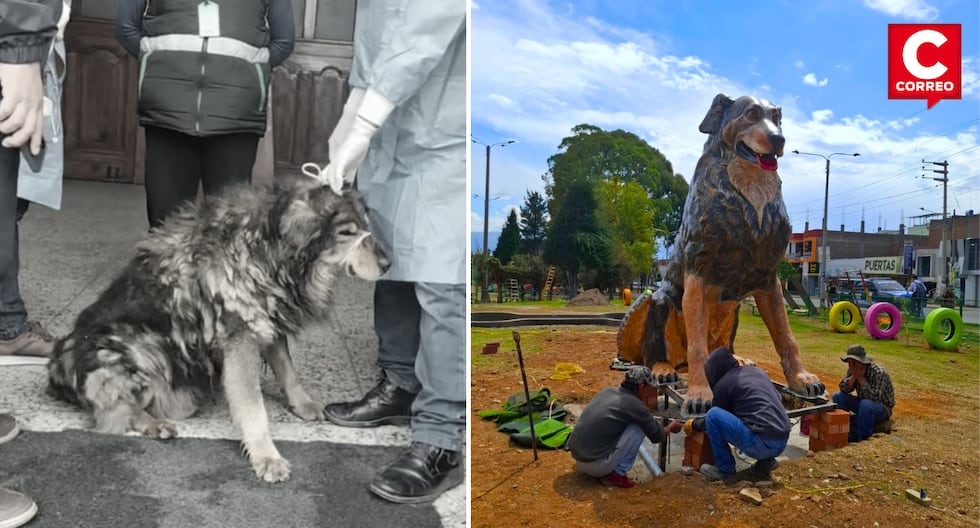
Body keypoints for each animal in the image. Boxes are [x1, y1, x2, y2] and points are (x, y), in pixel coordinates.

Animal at [47, 177, 388, 482]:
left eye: (366, 226)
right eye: (347, 232)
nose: (388, 265)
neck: (265, 246)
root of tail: (56, 371)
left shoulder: (266, 323)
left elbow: (288, 371)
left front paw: (302, 404)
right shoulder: (240, 338)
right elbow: (253, 407)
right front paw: (266, 456)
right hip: (136, 347)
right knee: (114, 410)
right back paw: (153, 423)